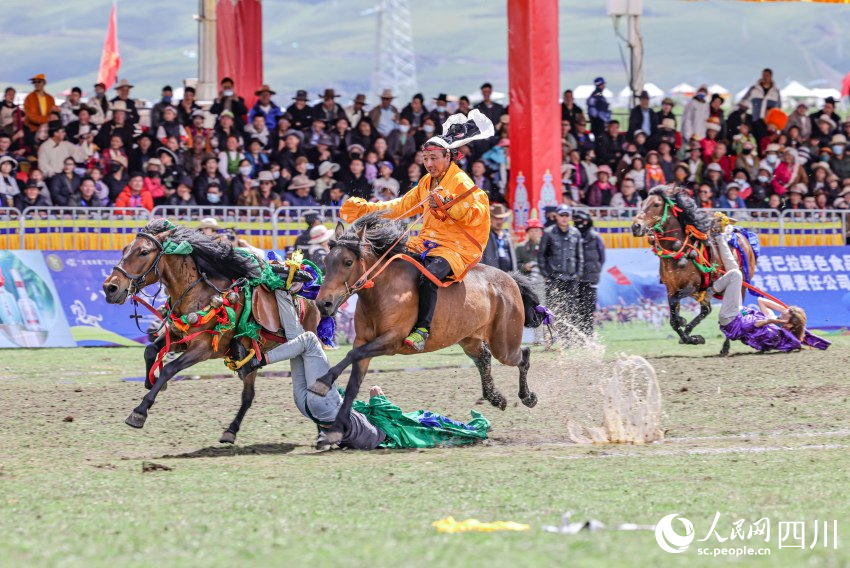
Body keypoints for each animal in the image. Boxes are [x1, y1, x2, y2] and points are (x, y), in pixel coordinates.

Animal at [102, 217, 322, 444]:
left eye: (144, 252)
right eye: (125, 249)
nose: (110, 288)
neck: (199, 293)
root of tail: (312, 299)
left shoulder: (203, 348)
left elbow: (169, 369)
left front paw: (140, 411)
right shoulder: (180, 337)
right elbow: (150, 351)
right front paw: (150, 382)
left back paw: (323, 432)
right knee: (248, 396)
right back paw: (231, 431)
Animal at [304, 212, 544, 444]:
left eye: (347, 262)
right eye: (325, 260)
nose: (323, 303)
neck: (385, 290)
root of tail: (508, 278)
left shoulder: (391, 340)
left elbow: (352, 355)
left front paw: (322, 382)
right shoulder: (364, 341)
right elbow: (353, 382)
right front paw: (335, 429)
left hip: (504, 344)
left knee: (523, 355)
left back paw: (528, 397)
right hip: (470, 339)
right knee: (484, 358)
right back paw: (497, 398)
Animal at [628, 185, 756, 356]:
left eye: (656, 204)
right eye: (641, 203)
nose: (636, 227)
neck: (678, 252)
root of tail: (744, 237)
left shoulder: (691, 287)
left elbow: (674, 309)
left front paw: (687, 330)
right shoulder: (671, 288)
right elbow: (673, 319)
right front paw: (692, 337)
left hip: (740, 285)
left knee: (733, 312)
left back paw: (725, 346)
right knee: (706, 310)